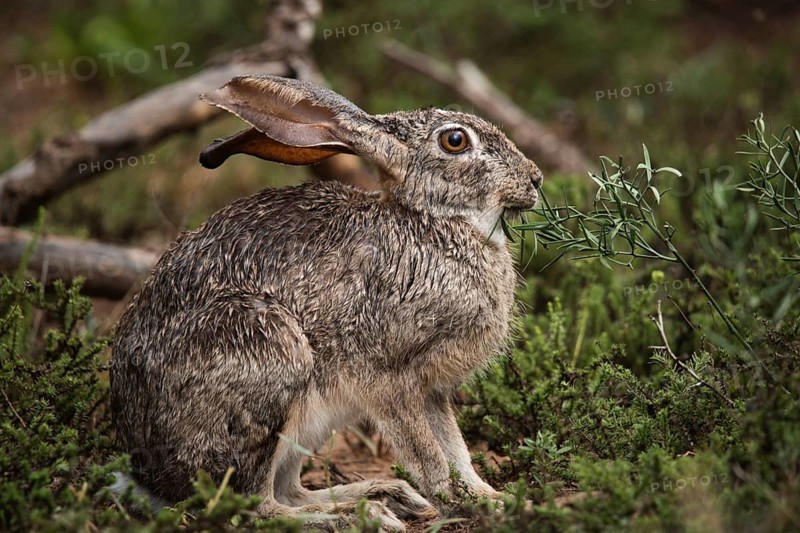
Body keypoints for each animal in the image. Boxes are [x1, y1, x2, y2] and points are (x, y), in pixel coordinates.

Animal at [110, 74, 543, 530]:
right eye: (455, 140)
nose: (535, 179)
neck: (432, 223)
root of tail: (151, 478)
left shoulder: (431, 389)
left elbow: (455, 447)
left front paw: (490, 497)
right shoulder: (390, 377)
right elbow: (428, 454)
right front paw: (460, 500)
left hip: (305, 425)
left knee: (289, 490)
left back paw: (385, 495)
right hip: (268, 351)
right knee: (256, 505)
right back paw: (356, 515)